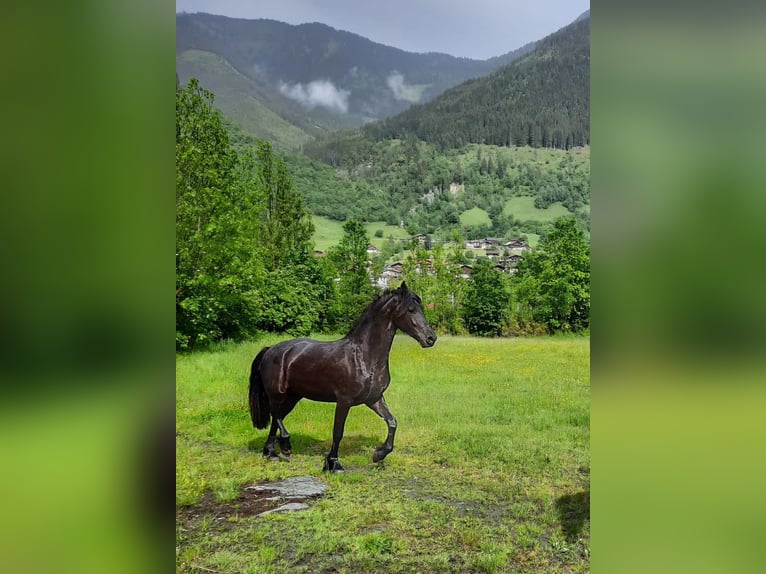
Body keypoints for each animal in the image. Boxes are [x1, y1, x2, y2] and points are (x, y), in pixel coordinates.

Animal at [249, 282, 436, 472]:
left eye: (421, 308)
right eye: (411, 309)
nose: (431, 338)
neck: (363, 357)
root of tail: (270, 350)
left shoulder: (374, 399)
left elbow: (392, 422)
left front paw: (379, 454)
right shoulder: (344, 401)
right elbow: (338, 432)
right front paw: (333, 463)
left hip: (292, 397)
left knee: (276, 418)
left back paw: (271, 452)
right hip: (277, 394)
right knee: (275, 414)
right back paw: (285, 446)